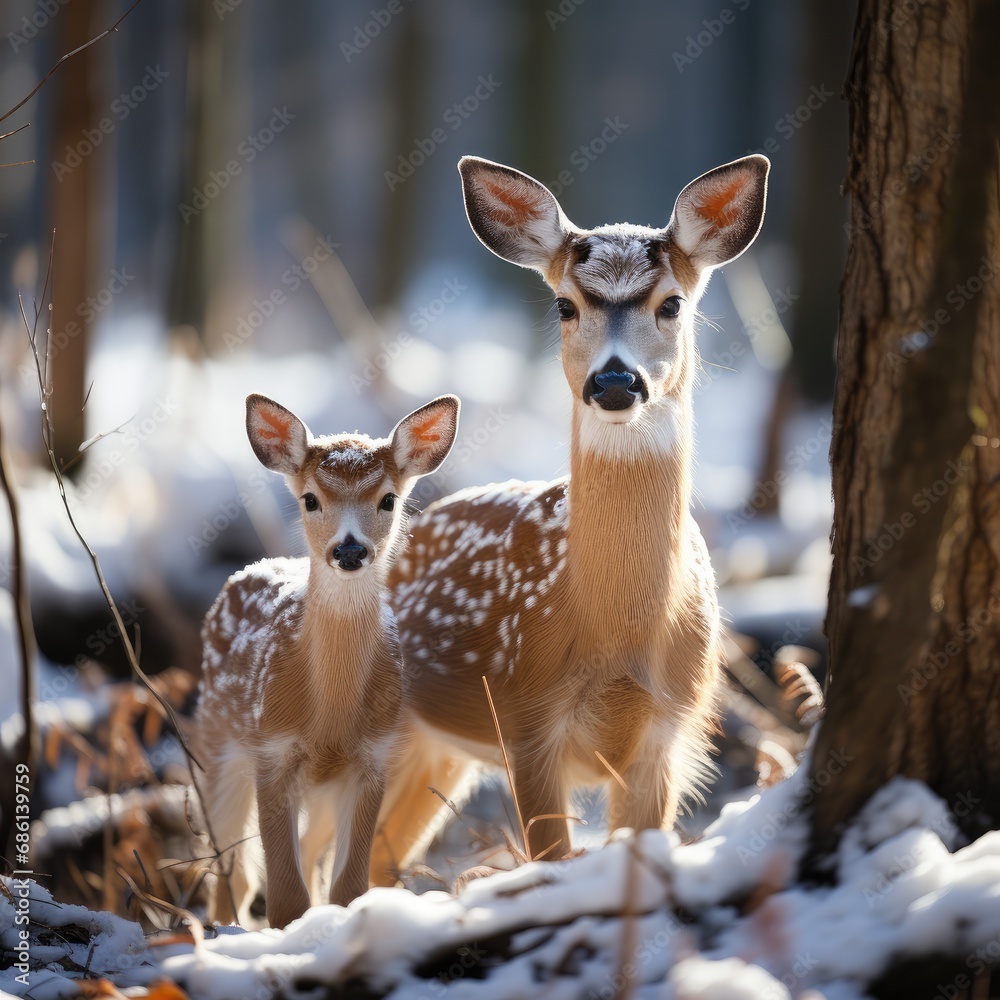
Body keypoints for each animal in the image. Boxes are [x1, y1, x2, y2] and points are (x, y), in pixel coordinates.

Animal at [196, 392, 460, 928]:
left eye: (388, 499)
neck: (329, 718)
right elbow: (285, 897)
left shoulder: (372, 758)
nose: (350, 549)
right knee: (231, 869)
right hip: (217, 744)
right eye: (310, 499)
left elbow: (348, 889)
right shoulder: (272, 750)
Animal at [372, 150, 768, 876]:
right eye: (565, 304)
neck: (609, 630)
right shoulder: (525, 720)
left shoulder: (669, 732)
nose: (614, 381)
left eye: (672, 303)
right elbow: (550, 861)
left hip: (437, 749)